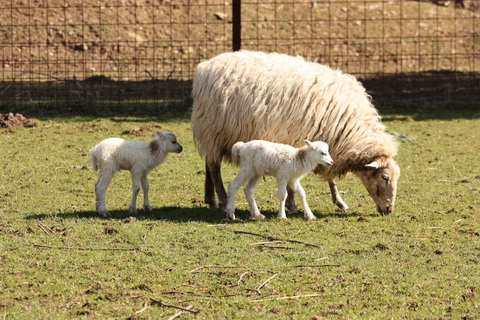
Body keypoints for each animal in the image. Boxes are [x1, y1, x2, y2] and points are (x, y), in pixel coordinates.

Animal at [191, 50, 402, 215]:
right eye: (385, 178)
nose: (389, 209)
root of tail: (205, 66)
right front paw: (292, 205)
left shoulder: (329, 143)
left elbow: (330, 174)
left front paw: (339, 201)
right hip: (213, 129)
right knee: (213, 166)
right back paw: (222, 199)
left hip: (213, 134)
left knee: (209, 163)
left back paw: (210, 198)